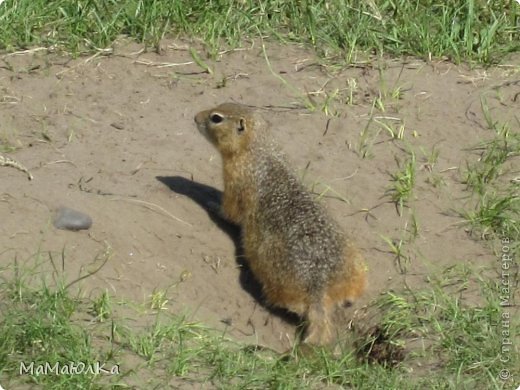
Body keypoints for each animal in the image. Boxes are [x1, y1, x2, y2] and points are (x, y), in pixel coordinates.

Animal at [194, 102, 366, 346]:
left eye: (216, 118)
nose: (195, 117)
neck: (262, 149)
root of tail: (320, 287)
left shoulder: (236, 181)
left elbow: (230, 211)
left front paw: (210, 201)